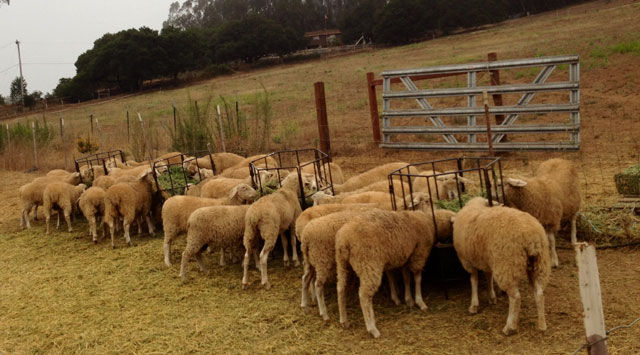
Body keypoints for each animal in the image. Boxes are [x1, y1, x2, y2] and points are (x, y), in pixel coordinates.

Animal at [450, 197, 552, 336]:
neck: (475, 206)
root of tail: (531, 237)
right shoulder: (486, 260)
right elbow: (488, 276)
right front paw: (491, 297)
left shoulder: (467, 260)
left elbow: (474, 280)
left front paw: (474, 305)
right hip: (539, 263)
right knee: (539, 293)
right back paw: (542, 325)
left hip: (506, 264)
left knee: (515, 297)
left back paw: (509, 327)